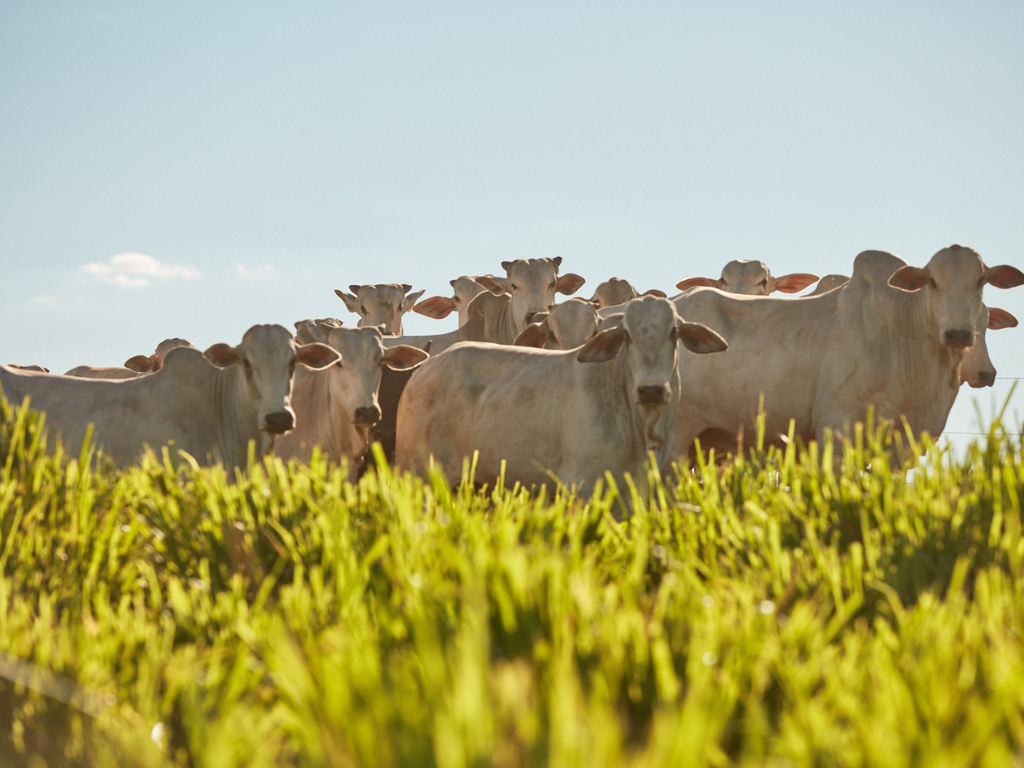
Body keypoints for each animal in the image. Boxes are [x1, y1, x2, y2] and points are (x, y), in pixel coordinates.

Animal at [393, 294, 729, 499]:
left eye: (674, 332)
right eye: (627, 335)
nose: (651, 390)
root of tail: (422, 370)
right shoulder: (580, 485)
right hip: (418, 476)